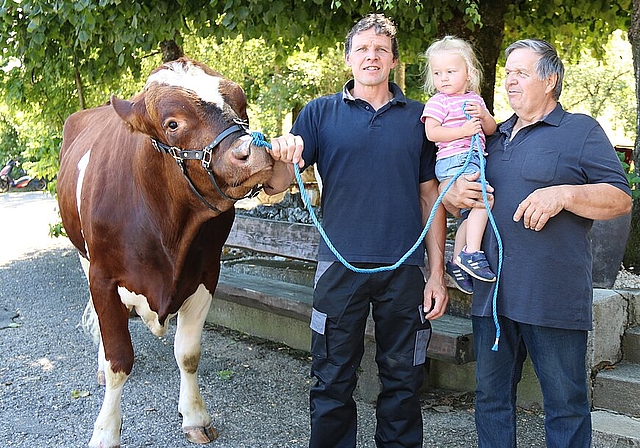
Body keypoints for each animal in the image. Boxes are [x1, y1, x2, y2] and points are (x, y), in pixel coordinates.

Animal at [56, 57, 274, 446]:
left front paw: (195, 415)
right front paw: (105, 431)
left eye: (241, 105)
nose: (256, 152)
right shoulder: (103, 277)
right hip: (82, 256)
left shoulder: (206, 273)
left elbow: (188, 354)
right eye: (172, 123)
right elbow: (118, 361)